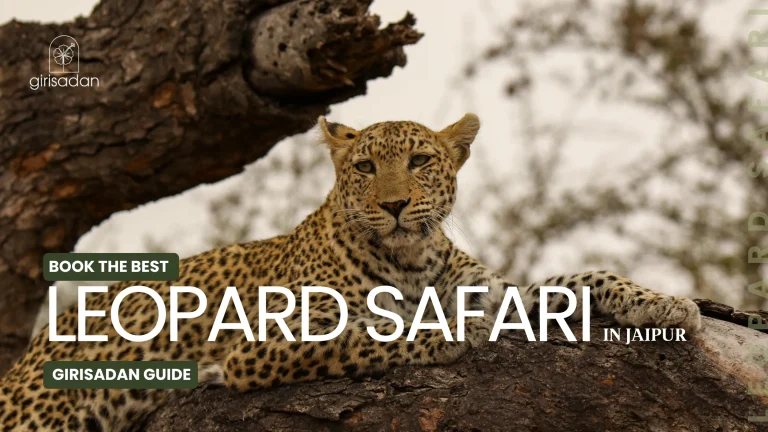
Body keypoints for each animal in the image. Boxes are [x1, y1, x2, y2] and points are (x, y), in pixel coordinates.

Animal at [0, 114, 701, 431]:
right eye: (364, 168)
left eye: (420, 161)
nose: (392, 205)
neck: (411, 257)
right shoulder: (262, 345)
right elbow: (372, 330)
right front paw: (450, 333)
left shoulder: (497, 292)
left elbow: (581, 279)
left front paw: (666, 303)